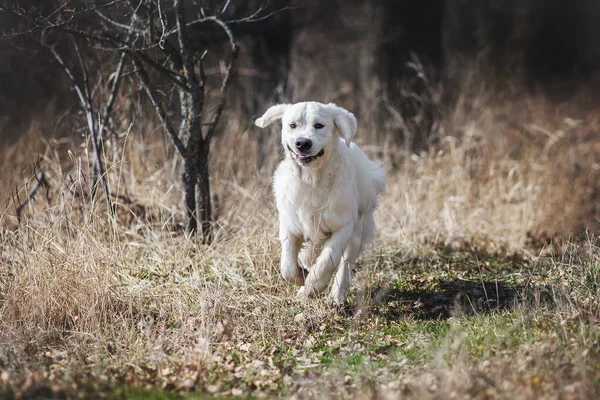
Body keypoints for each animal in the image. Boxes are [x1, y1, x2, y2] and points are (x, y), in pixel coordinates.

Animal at [253, 101, 384, 304]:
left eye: (319, 125)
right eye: (292, 125)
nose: (302, 143)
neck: (311, 179)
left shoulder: (343, 225)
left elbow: (328, 259)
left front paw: (314, 286)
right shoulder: (290, 225)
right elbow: (287, 267)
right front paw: (302, 278)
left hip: (358, 229)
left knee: (345, 264)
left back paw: (336, 297)